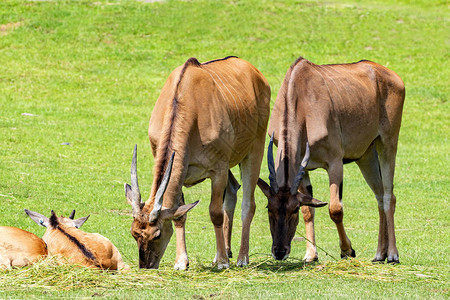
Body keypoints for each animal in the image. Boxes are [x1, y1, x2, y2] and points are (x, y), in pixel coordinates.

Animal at [124, 56, 270, 270]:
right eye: (134, 233)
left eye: (157, 234)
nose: (146, 265)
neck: (188, 102)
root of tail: (256, 73)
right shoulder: (180, 169)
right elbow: (179, 215)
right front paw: (181, 262)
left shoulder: (218, 169)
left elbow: (215, 212)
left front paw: (223, 263)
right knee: (232, 190)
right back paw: (224, 253)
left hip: (254, 149)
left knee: (248, 204)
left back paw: (241, 258)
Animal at [258, 55, 406, 262]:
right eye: (268, 208)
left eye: (293, 209)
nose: (279, 251)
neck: (300, 98)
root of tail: (390, 74)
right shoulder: (303, 169)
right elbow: (309, 210)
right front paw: (311, 255)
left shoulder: (335, 163)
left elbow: (335, 209)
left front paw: (347, 250)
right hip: (366, 155)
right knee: (379, 195)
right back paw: (379, 254)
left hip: (388, 143)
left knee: (388, 196)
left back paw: (392, 254)